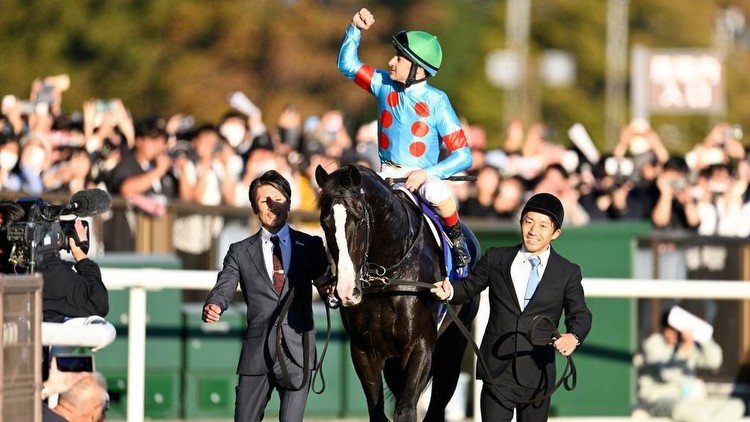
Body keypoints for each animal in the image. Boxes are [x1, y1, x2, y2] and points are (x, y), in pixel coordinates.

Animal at [314, 165, 478, 422]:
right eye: (324, 222)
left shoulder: (419, 346)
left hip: (453, 344)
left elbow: (406, 410)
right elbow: (378, 413)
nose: (346, 291)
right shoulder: (364, 350)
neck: (386, 276)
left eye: (361, 220)